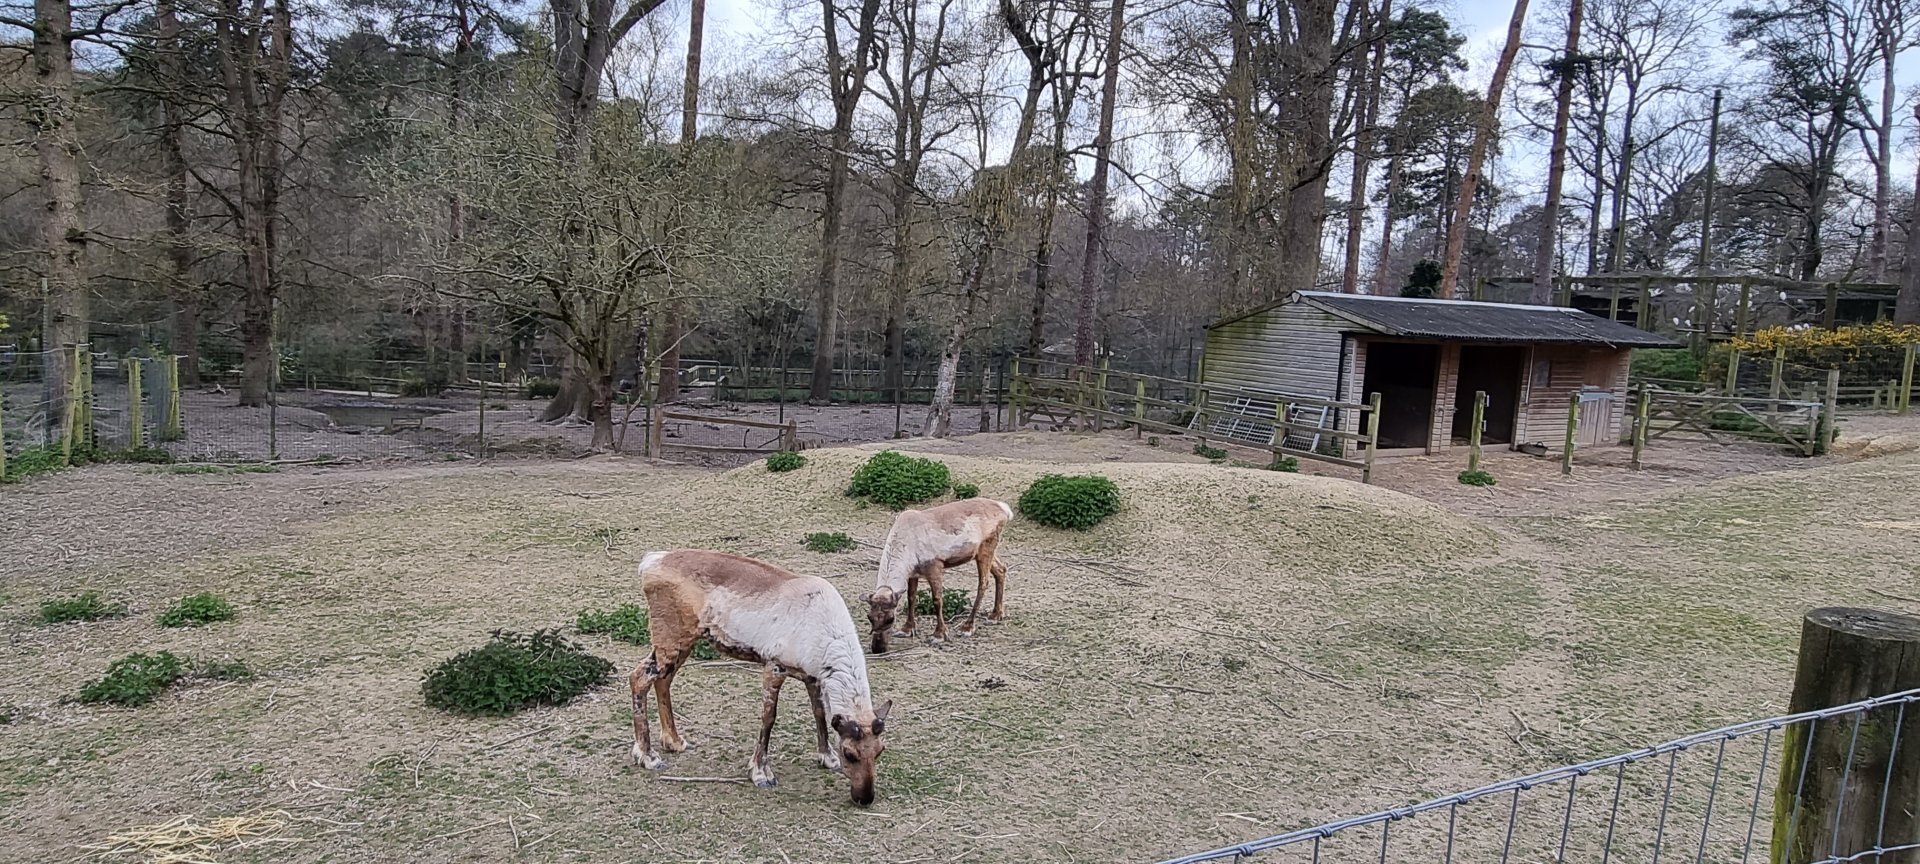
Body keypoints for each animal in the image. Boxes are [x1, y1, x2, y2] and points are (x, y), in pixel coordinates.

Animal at [629, 550, 893, 806]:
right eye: (850, 753)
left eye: (880, 750)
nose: (865, 798)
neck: (825, 629)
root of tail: (650, 561)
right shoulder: (774, 667)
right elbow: (769, 718)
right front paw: (760, 773)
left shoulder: (813, 676)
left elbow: (819, 713)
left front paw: (827, 757)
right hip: (671, 639)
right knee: (639, 677)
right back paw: (647, 756)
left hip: (683, 643)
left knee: (663, 679)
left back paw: (674, 741)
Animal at [862, 497, 1012, 654]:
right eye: (869, 617)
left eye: (890, 619)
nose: (877, 648)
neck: (907, 542)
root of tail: (1004, 509)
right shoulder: (913, 574)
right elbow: (911, 598)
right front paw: (907, 629)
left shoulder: (935, 568)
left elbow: (937, 600)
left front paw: (939, 635)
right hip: (982, 552)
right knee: (1001, 570)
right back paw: (995, 615)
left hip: (986, 547)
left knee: (983, 583)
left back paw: (967, 627)